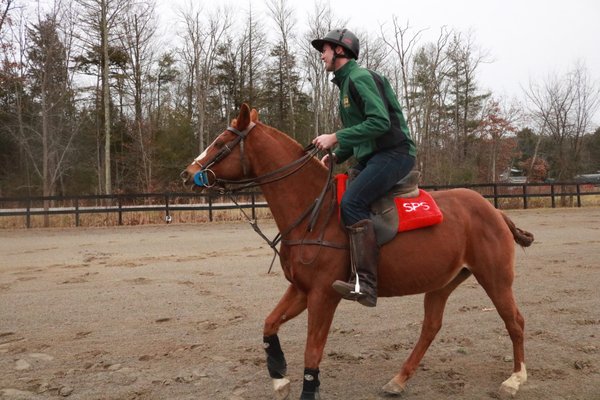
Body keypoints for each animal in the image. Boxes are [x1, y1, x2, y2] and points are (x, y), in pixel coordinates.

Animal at [180, 104, 532, 398]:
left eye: (221, 142)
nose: (187, 174)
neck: (314, 211)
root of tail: (495, 211)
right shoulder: (301, 290)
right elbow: (269, 325)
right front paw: (279, 377)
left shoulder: (323, 294)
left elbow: (312, 351)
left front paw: (306, 389)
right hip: (443, 282)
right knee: (431, 327)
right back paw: (398, 380)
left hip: (495, 278)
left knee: (514, 320)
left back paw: (515, 380)